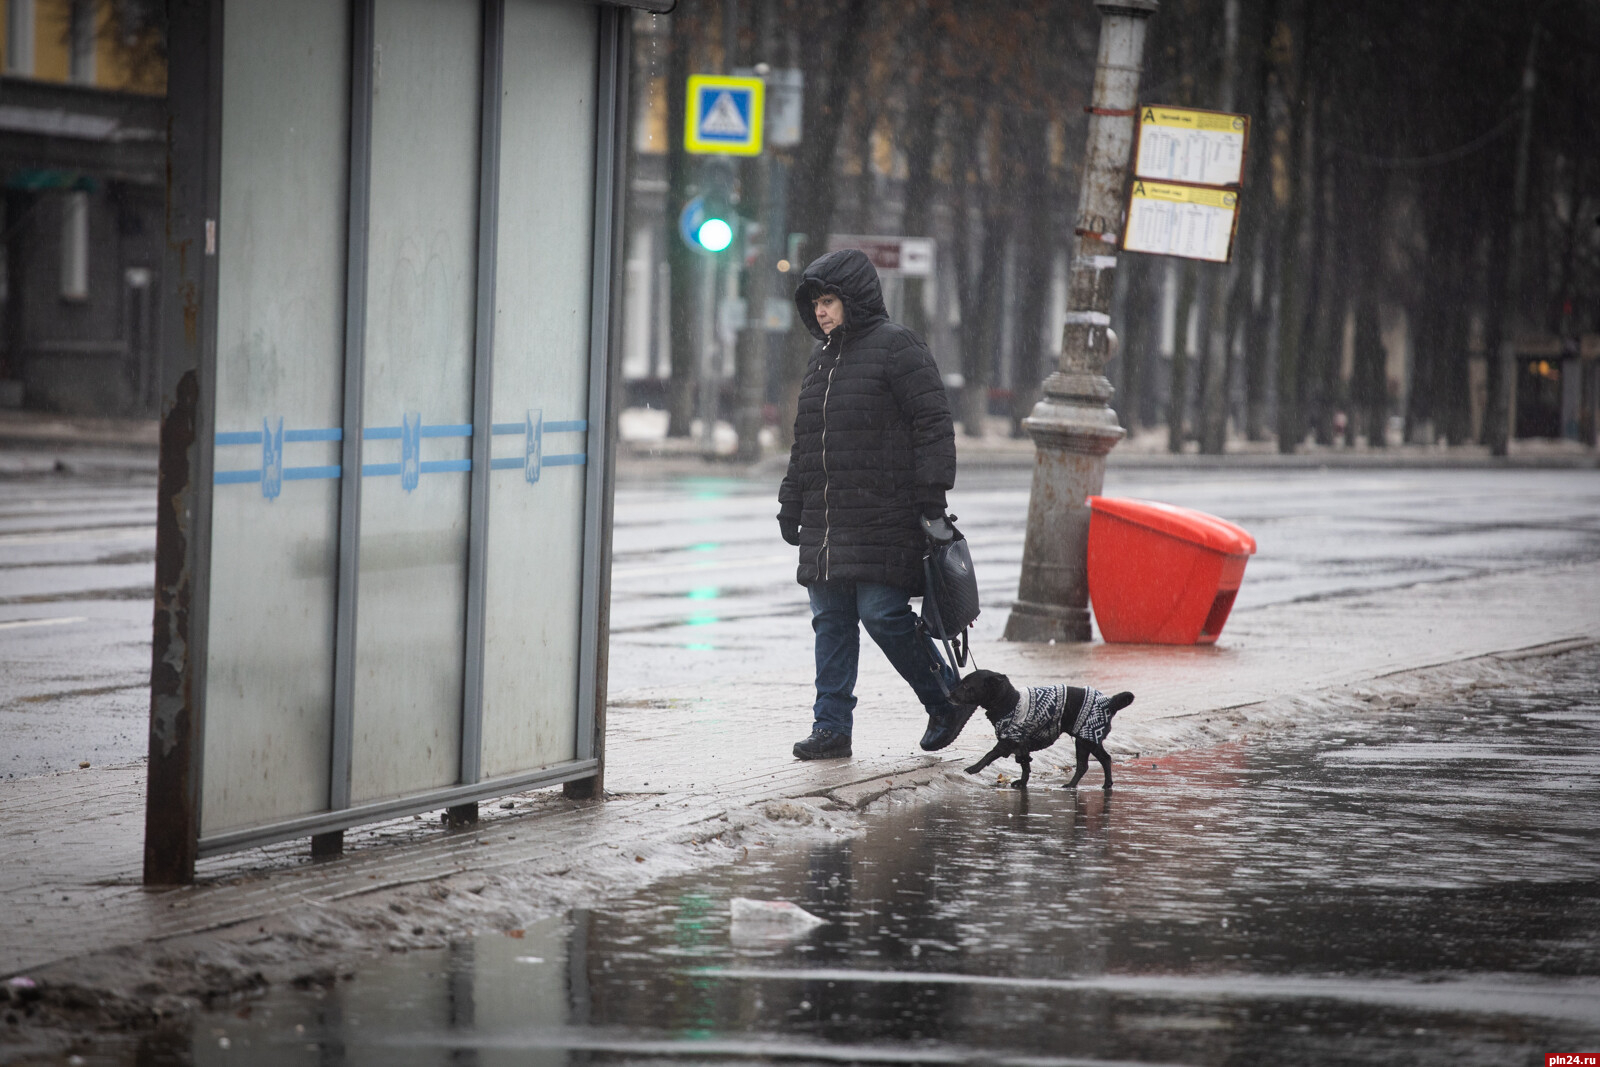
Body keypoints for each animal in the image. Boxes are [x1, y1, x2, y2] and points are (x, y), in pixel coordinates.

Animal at [947, 671, 1139, 790]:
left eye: (966, 686)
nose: (949, 695)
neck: (1008, 701)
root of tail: (1109, 702)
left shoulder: (1008, 741)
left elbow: (989, 755)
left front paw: (973, 768)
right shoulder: (1021, 746)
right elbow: (1025, 767)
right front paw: (1022, 783)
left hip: (1086, 739)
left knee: (1092, 763)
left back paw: (1081, 785)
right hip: (1087, 741)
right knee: (1096, 762)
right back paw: (1092, 784)